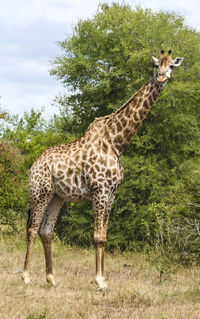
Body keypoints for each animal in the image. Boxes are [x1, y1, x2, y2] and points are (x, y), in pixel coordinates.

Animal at [21, 49, 183, 290]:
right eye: (156, 66)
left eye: (171, 66)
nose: (162, 77)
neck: (117, 142)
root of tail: (34, 165)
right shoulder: (100, 191)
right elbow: (97, 236)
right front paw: (99, 281)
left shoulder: (112, 193)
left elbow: (104, 235)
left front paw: (104, 278)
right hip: (39, 192)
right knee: (32, 228)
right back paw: (26, 276)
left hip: (57, 196)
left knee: (46, 230)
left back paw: (51, 278)